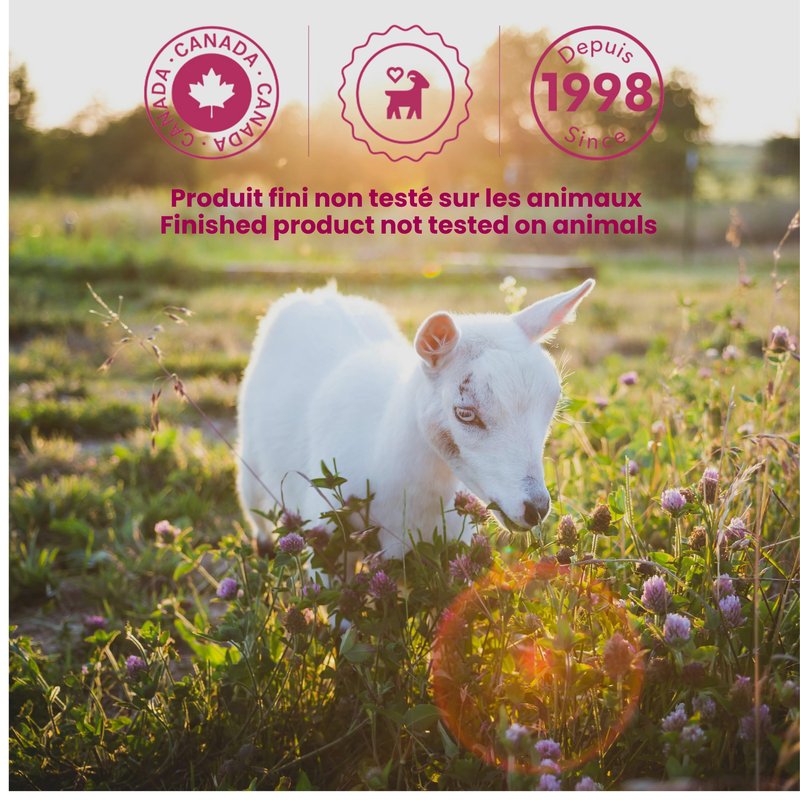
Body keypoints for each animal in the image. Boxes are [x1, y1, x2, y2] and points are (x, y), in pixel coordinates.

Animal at [237, 280, 595, 559]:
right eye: (465, 413)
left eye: (552, 404)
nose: (536, 508)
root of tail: (318, 294)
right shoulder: (325, 535)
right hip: (251, 461)